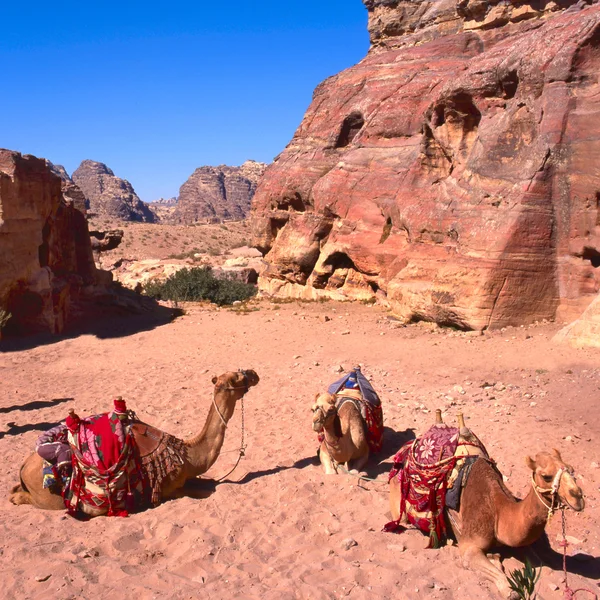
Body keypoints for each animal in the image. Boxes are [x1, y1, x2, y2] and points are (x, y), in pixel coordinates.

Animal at [8, 370, 258, 516]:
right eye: (237, 377)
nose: (253, 373)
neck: (187, 455)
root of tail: (24, 466)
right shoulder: (168, 490)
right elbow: (201, 492)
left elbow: (210, 483)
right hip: (50, 498)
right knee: (19, 497)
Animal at [390, 412, 584, 600]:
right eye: (546, 476)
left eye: (571, 469)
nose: (577, 497)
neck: (498, 510)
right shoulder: (469, 545)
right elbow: (509, 589)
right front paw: (504, 578)